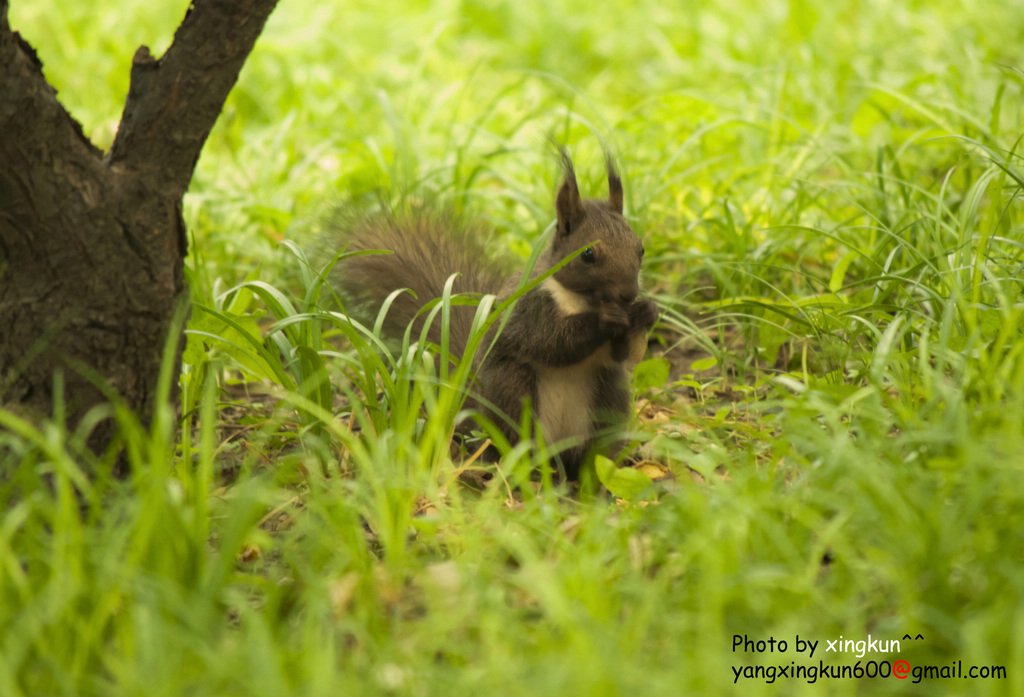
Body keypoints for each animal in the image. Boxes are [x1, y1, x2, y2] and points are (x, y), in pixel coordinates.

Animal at [331, 149, 659, 478]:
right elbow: (553, 341)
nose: (629, 294)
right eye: (588, 254)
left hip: (608, 398)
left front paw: (647, 311)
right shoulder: (529, 309)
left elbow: (622, 355)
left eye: (641, 249)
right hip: (512, 389)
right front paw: (605, 320)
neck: (583, 301)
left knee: (594, 451)